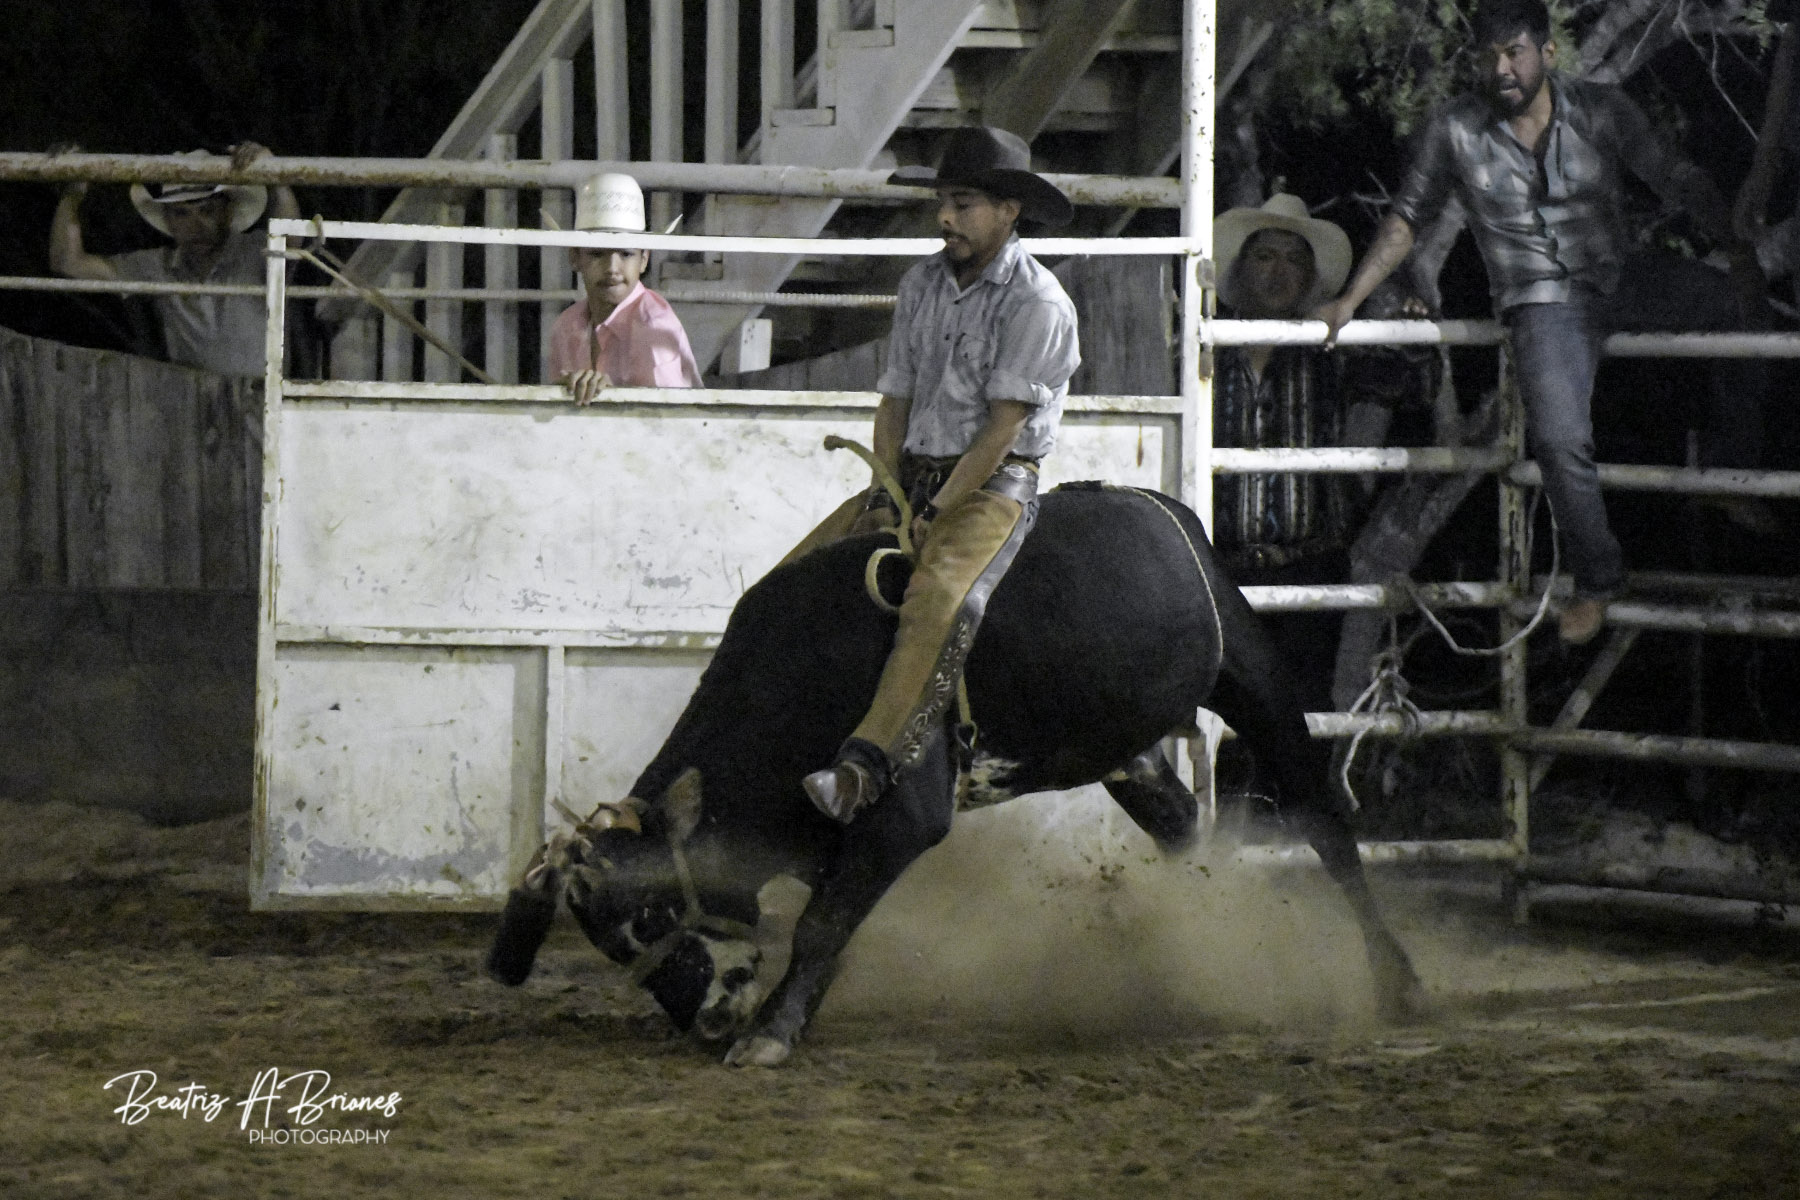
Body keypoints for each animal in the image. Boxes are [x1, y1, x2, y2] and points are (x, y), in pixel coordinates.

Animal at [487, 483, 1427, 1066]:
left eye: (649, 912)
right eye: (609, 944)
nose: (707, 1018)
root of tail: (1165, 508)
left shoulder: (902, 816)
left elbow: (823, 925)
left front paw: (770, 1033)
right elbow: (827, 918)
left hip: (1255, 683)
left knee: (1325, 825)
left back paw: (1397, 981)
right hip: (1129, 755)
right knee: (1183, 828)